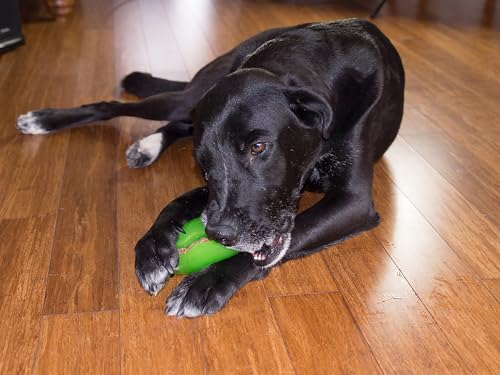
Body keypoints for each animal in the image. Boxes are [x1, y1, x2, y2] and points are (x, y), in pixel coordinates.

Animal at [17, 17, 404, 318]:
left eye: (259, 147)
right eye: (202, 163)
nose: (219, 235)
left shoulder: (353, 201)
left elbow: (285, 240)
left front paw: (207, 282)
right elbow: (177, 201)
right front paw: (153, 247)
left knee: (176, 123)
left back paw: (144, 146)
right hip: (189, 97)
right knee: (115, 106)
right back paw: (46, 120)